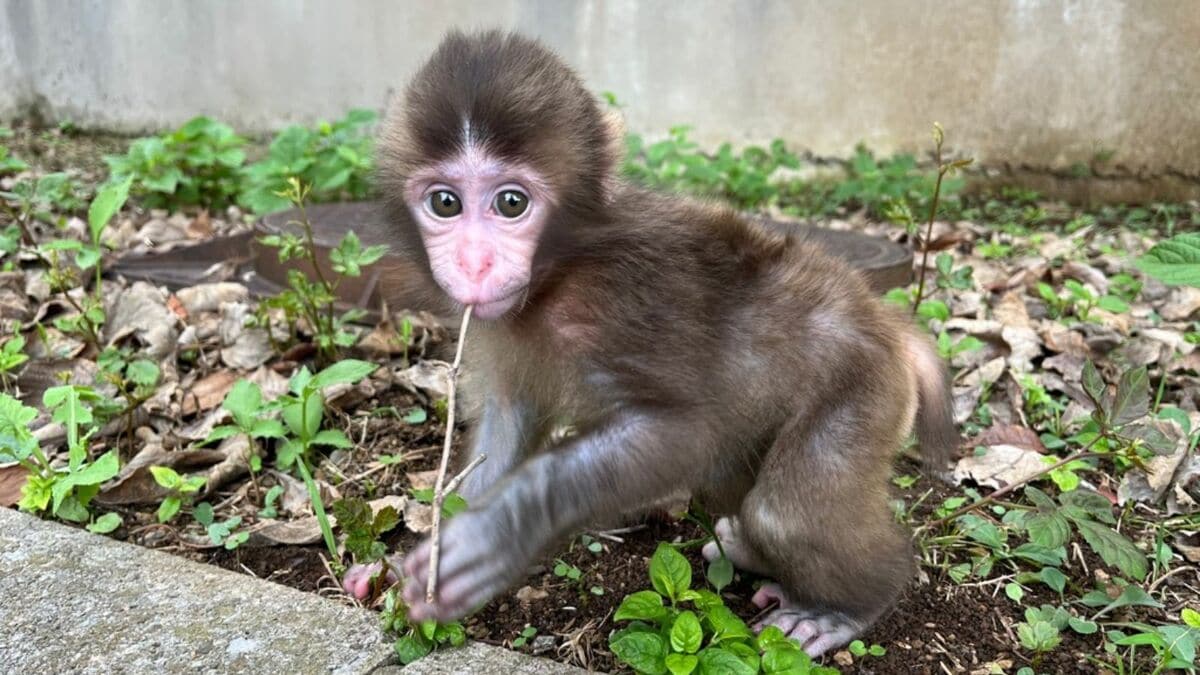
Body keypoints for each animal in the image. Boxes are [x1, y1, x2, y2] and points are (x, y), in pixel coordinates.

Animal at [341, 30, 958, 658]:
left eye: (511, 203)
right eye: (445, 203)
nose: (473, 263)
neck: (558, 274)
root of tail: (885, 322)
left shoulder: (624, 302)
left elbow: (686, 433)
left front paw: (497, 532)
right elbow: (508, 423)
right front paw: (403, 567)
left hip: (863, 387)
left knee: (786, 514)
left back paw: (845, 606)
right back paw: (753, 554)